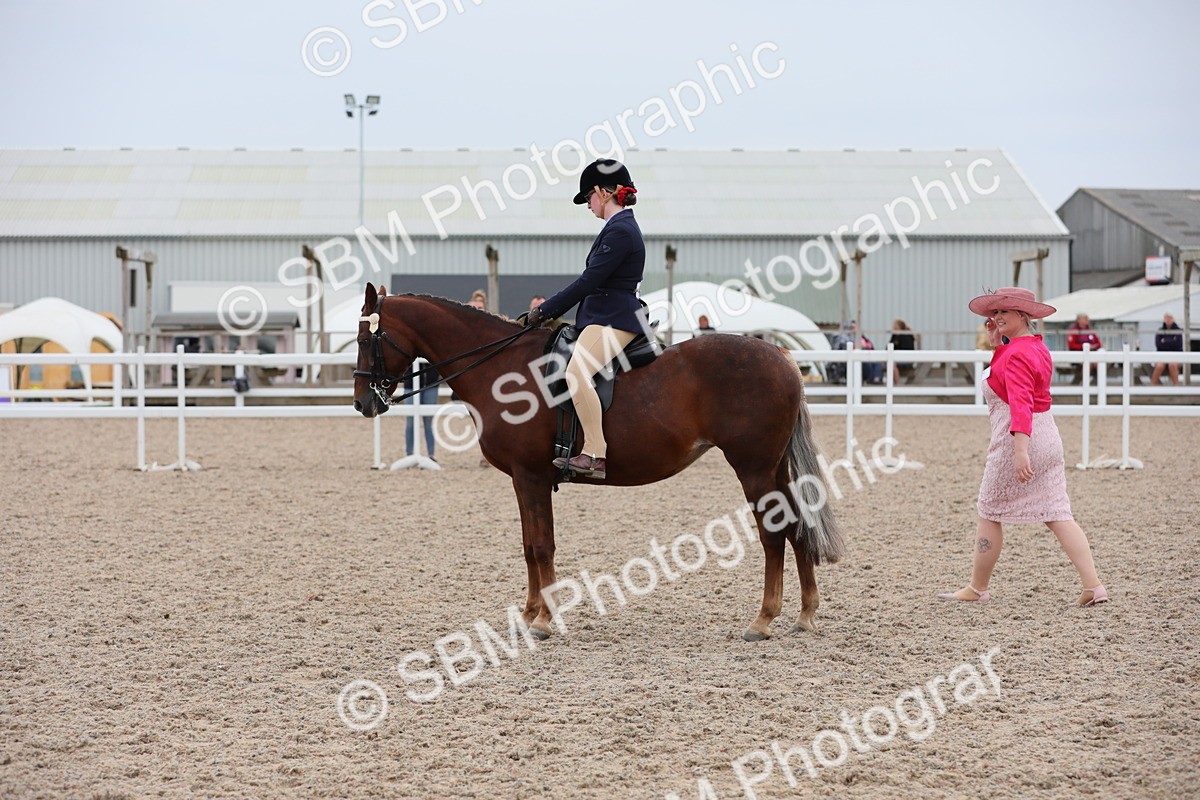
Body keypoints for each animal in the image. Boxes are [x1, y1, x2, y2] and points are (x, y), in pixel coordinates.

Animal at [352, 284, 845, 641]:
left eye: (365, 338)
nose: (362, 403)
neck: (502, 369)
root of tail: (779, 355)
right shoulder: (522, 481)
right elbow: (529, 546)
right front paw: (528, 614)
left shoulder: (531, 477)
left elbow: (543, 546)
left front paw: (544, 621)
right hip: (773, 468)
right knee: (796, 524)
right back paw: (804, 615)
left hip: (753, 468)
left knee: (773, 533)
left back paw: (763, 620)